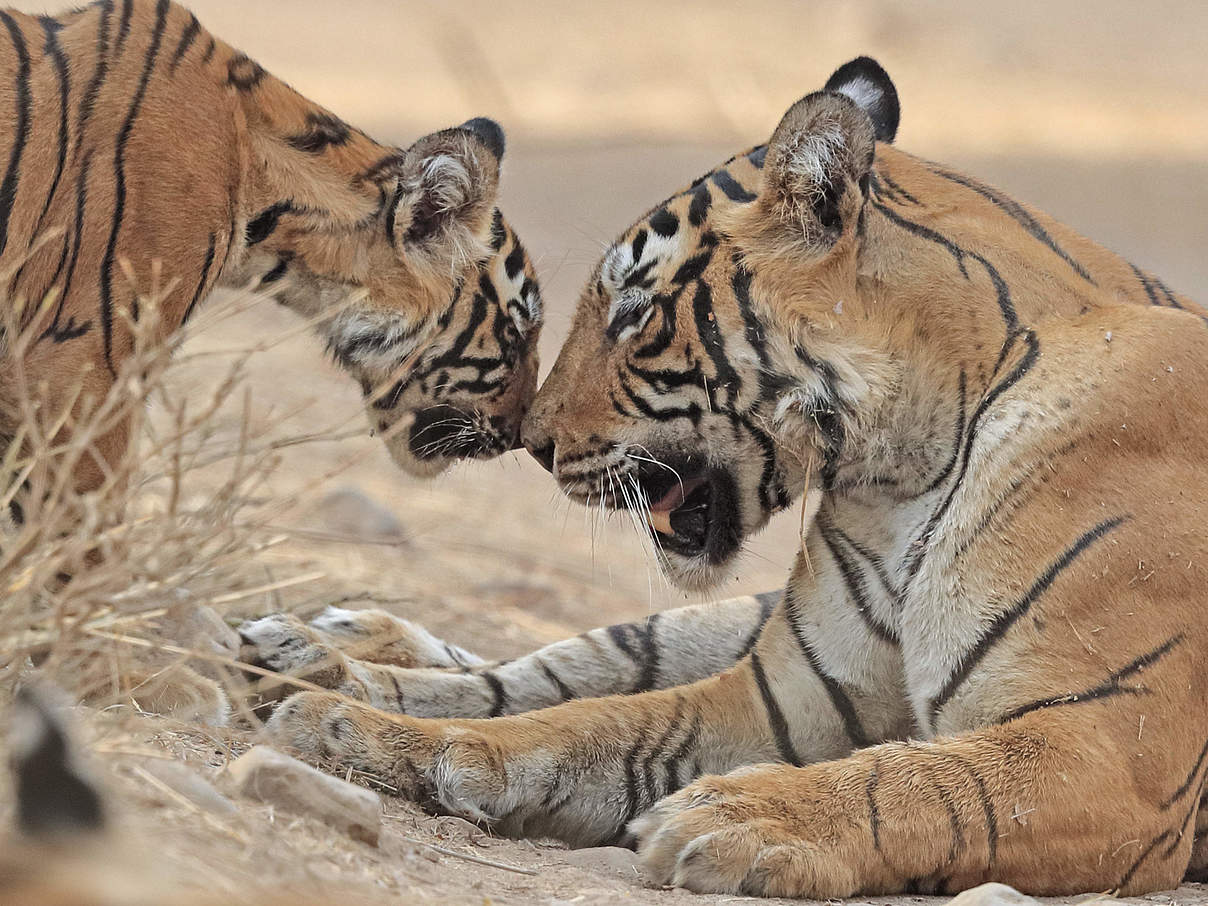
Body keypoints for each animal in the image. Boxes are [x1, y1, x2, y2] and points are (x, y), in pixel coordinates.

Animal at [259, 58, 1203, 903]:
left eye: (632, 312)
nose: (532, 441)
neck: (906, 469)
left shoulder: (1114, 750)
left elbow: (916, 782)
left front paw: (740, 819)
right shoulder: (779, 700)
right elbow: (585, 723)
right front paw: (369, 734)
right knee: (559, 667)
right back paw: (313, 660)